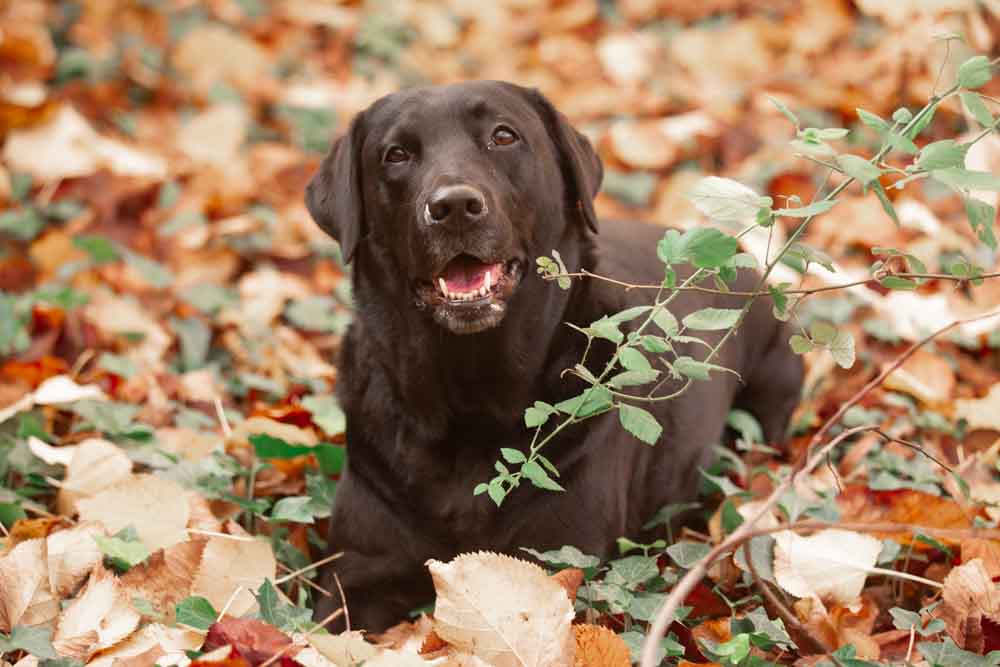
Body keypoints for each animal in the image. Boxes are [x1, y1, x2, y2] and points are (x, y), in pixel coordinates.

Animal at [304, 79, 804, 632]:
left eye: (503, 136)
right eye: (396, 155)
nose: (454, 206)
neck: (469, 395)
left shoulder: (558, 566)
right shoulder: (355, 579)